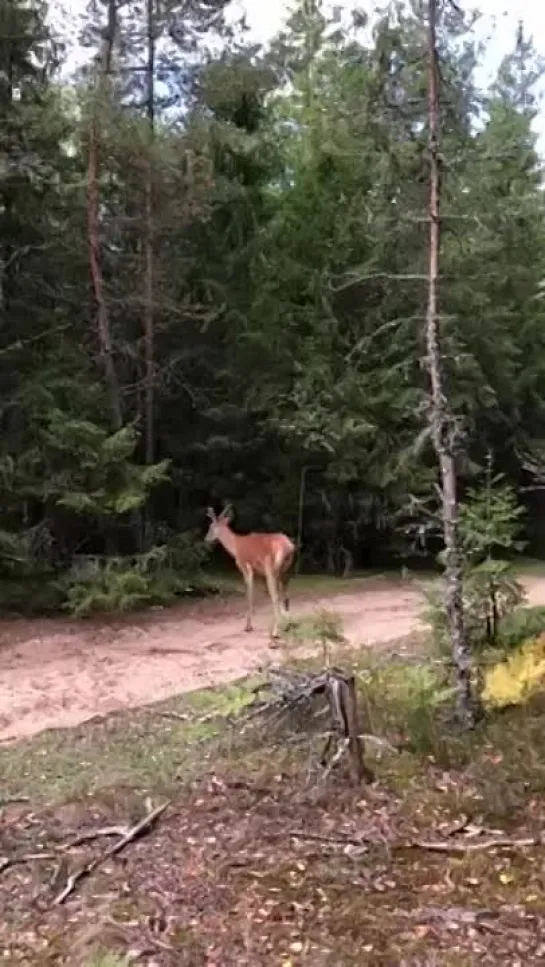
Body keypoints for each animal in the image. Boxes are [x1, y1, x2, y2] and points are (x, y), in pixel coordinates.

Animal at [204, 506, 296, 644]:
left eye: (211, 526)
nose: (206, 539)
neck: (236, 546)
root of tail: (289, 547)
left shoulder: (245, 566)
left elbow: (249, 593)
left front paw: (248, 626)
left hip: (271, 568)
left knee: (276, 597)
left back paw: (275, 633)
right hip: (286, 571)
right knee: (286, 596)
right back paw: (287, 626)